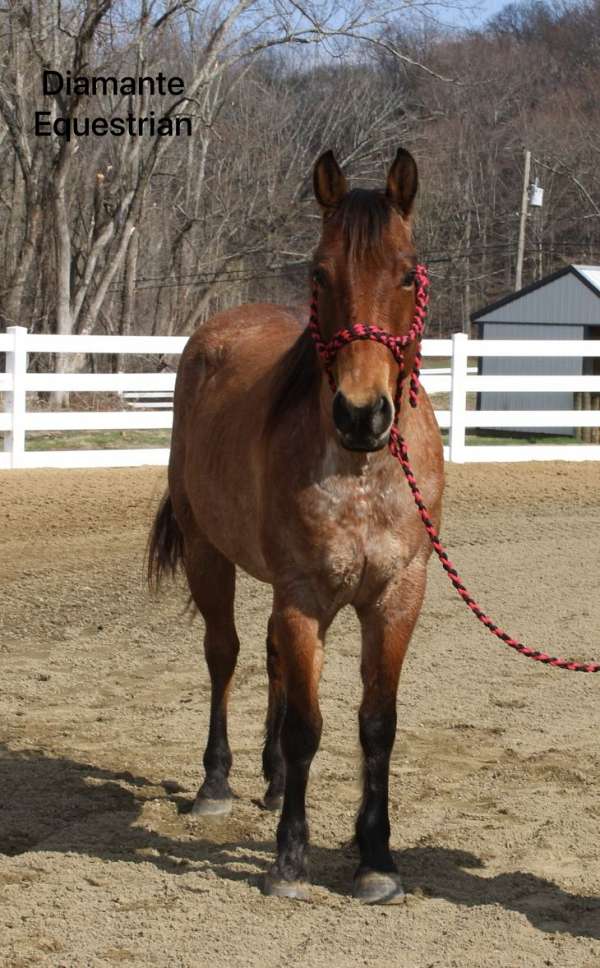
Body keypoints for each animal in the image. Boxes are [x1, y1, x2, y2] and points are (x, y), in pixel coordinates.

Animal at [148, 147, 442, 904]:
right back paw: (217, 782)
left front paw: (376, 858)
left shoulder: (394, 595)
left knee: (275, 661)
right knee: (225, 654)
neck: (361, 472)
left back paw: (276, 783)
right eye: (319, 272)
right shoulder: (303, 594)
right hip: (208, 554)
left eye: (407, 272)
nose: (362, 413)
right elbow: (310, 726)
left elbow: (377, 725)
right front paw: (289, 860)